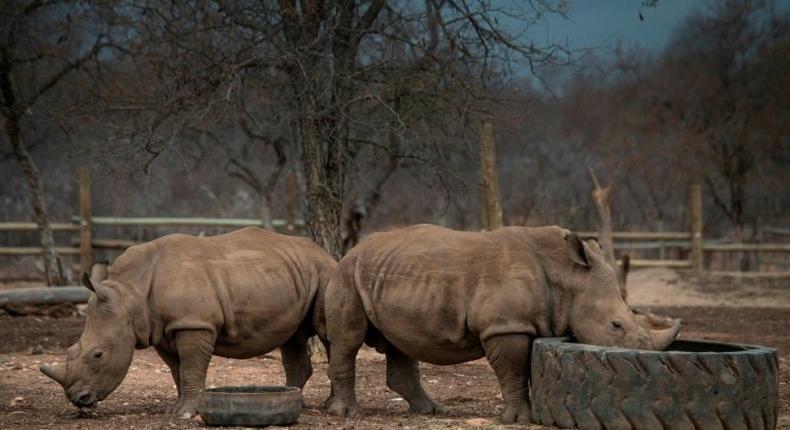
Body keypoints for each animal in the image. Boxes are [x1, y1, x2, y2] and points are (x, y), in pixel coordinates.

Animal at [39, 227, 334, 418]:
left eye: (98, 355)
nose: (78, 400)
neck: (129, 294)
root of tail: (323, 252)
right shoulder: (162, 330)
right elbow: (177, 370)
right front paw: (176, 409)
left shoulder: (193, 324)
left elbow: (191, 368)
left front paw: (187, 414)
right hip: (293, 275)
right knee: (293, 337)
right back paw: (299, 402)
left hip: (324, 272)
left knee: (328, 333)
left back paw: (328, 407)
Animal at [324, 227, 684, 422]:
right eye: (616, 325)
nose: (644, 361)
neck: (567, 276)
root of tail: (351, 250)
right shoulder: (505, 325)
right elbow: (512, 371)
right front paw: (519, 419)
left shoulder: (526, 323)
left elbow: (525, 370)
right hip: (347, 275)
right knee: (348, 340)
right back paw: (347, 414)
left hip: (389, 274)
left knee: (400, 343)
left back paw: (431, 411)